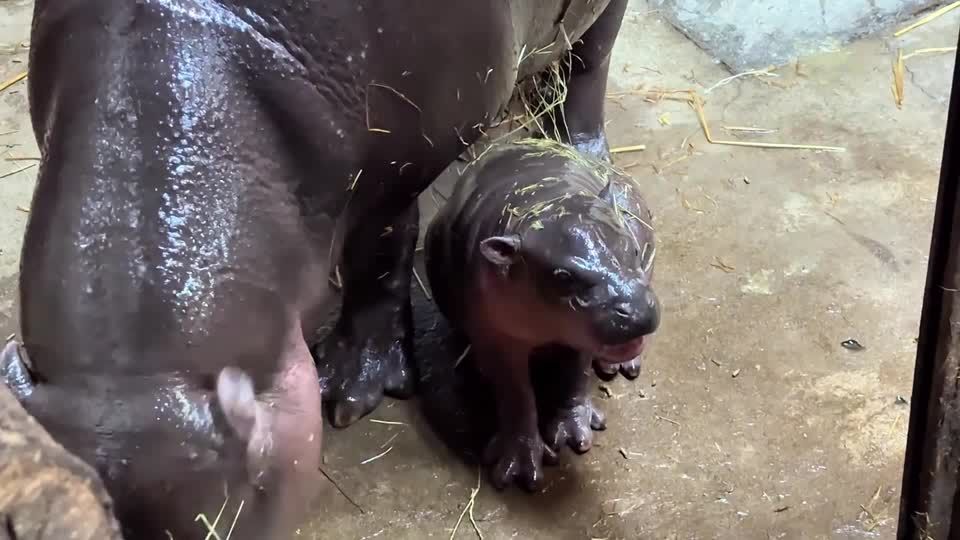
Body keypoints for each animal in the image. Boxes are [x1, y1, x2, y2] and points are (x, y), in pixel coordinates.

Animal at [6, 0, 629, 534]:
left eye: (222, 519)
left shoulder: (396, 168)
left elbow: (381, 255)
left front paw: (351, 392)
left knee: (589, 66)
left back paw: (583, 149)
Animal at [424, 138, 660, 490]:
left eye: (630, 248)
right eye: (562, 277)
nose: (636, 312)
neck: (544, 201)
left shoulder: (579, 336)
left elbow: (575, 375)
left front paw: (576, 434)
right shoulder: (498, 339)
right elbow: (516, 395)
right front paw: (520, 469)